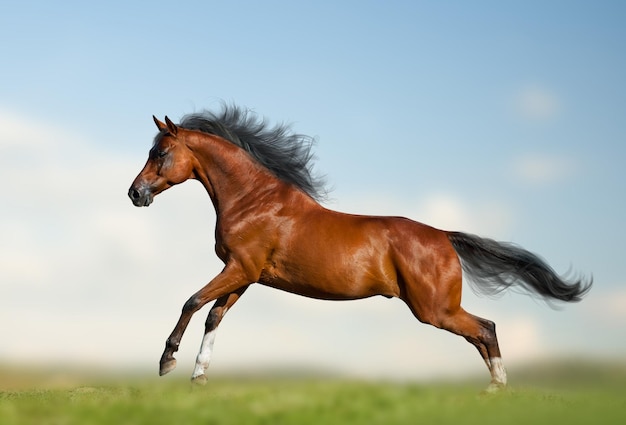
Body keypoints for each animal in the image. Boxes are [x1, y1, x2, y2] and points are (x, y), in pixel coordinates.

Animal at [128, 104, 588, 390]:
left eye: (160, 152)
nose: (135, 193)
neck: (253, 200)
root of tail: (443, 235)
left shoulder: (239, 268)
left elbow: (192, 302)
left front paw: (167, 362)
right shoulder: (245, 275)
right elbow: (214, 317)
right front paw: (198, 378)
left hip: (434, 309)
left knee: (485, 328)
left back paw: (497, 390)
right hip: (436, 309)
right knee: (481, 333)